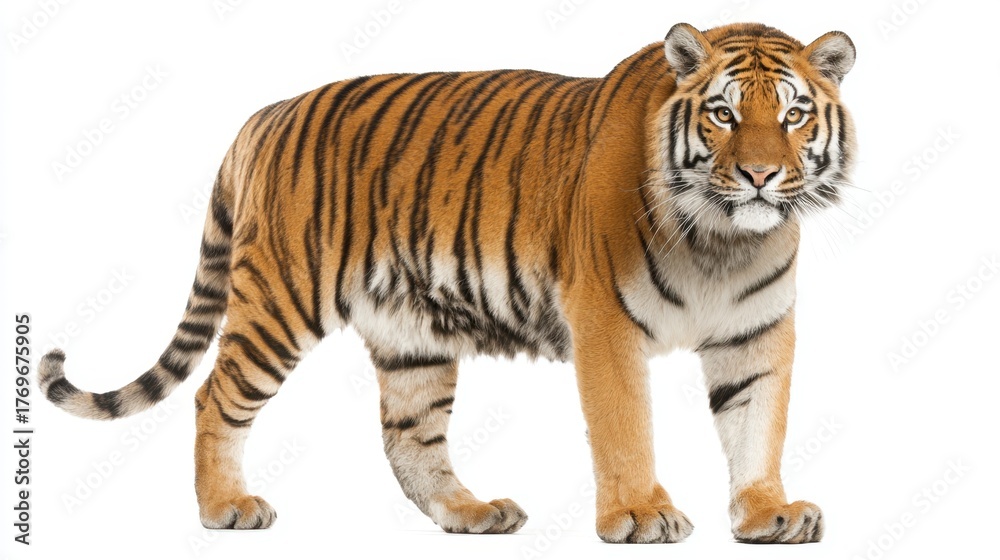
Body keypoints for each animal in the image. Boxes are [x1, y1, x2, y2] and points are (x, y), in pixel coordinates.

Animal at [38, 22, 856, 543]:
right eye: (722, 114)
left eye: (793, 114)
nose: (760, 175)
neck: (723, 242)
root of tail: (264, 117)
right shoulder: (606, 325)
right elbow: (625, 428)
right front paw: (641, 515)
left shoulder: (757, 334)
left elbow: (758, 426)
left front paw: (766, 514)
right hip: (280, 299)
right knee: (216, 395)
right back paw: (226, 508)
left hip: (412, 340)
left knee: (409, 440)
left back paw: (471, 513)